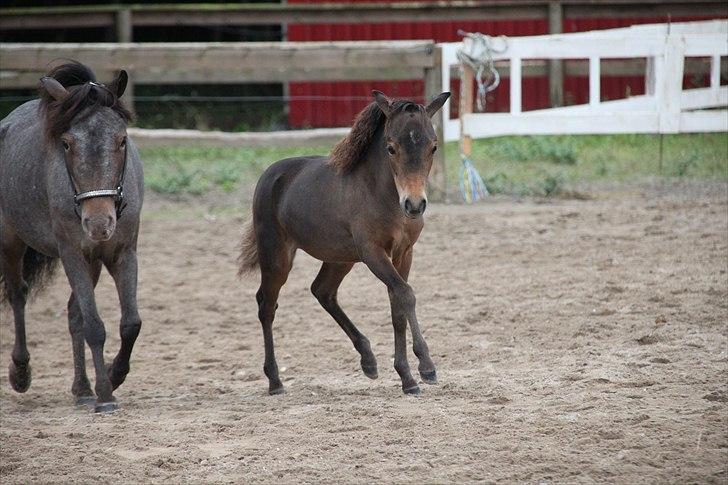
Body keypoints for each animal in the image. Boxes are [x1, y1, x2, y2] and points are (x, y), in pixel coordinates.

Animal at [0, 60, 144, 412]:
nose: (99, 223)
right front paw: (105, 394)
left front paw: (113, 376)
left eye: (122, 140)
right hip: (10, 241)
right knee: (18, 294)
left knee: (72, 312)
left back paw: (82, 389)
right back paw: (21, 371)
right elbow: (94, 325)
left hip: (93, 261)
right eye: (66, 143)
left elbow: (130, 323)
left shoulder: (122, 252)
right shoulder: (72, 253)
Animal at [240, 89, 450, 396]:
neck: (382, 195)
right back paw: (275, 381)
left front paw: (406, 377)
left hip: (340, 258)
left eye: (433, 147)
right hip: (276, 254)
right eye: (391, 148)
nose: (414, 205)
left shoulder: (404, 253)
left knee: (322, 291)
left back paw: (368, 360)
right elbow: (405, 294)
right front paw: (425, 367)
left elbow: (397, 304)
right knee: (267, 304)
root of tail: (269, 174)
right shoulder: (373, 252)